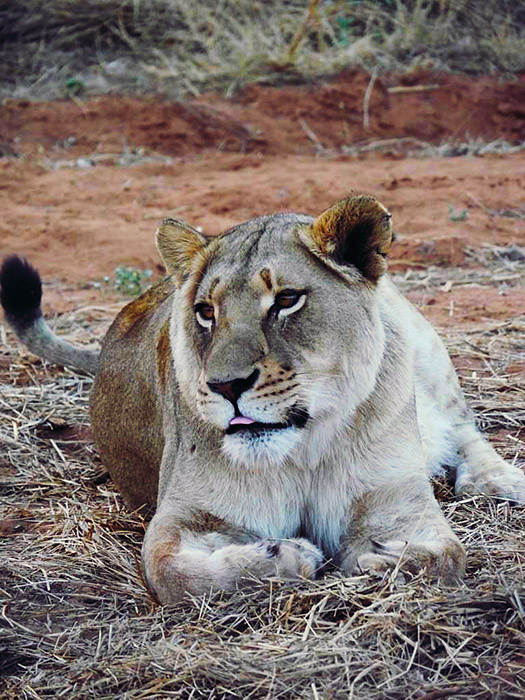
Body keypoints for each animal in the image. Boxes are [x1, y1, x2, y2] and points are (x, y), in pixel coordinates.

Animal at [1, 194, 524, 604]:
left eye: (287, 300)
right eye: (205, 311)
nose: (225, 386)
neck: (306, 448)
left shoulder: (396, 499)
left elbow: (445, 557)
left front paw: (382, 558)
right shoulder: (179, 515)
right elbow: (178, 574)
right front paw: (289, 553)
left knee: (467, 433)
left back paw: (505, 481)